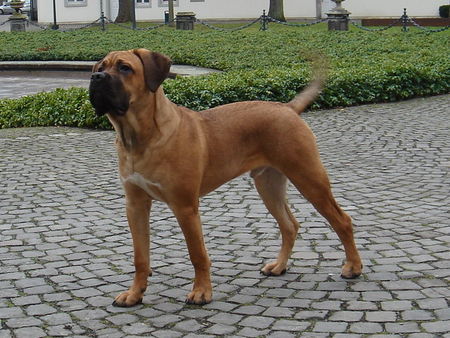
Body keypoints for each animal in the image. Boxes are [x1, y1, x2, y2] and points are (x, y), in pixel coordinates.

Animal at [88, 48, 362, 306]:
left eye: (125, 68)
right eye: (101, 67)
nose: (96, 77)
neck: (140, 136)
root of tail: (287, 108)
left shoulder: (185, 206)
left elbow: (197, 254)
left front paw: (201, 292)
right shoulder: (135, 205)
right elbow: (140, 257)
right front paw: (134, 294)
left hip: (309, 177)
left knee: (342, 220)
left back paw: (353, 267)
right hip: (269, 185)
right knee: (289, 226)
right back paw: (279, 266)